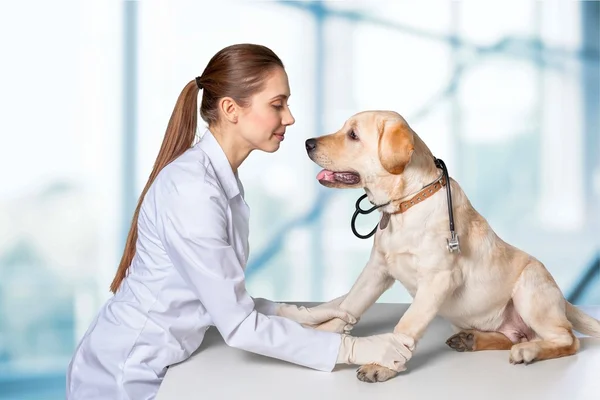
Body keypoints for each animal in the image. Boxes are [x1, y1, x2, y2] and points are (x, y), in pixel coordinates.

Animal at [308, 111, 596, 382]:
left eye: (353, 135)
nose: (307, 143)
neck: (406, 204)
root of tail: (563, 299)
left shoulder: (438, 279)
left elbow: (406, 324)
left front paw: (382, 365)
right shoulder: (376, 270)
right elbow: (348, 307)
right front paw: (319, 335)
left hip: (530, 289)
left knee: (567, 339)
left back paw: (529, 351)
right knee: (514, 337)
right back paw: (472, 339)